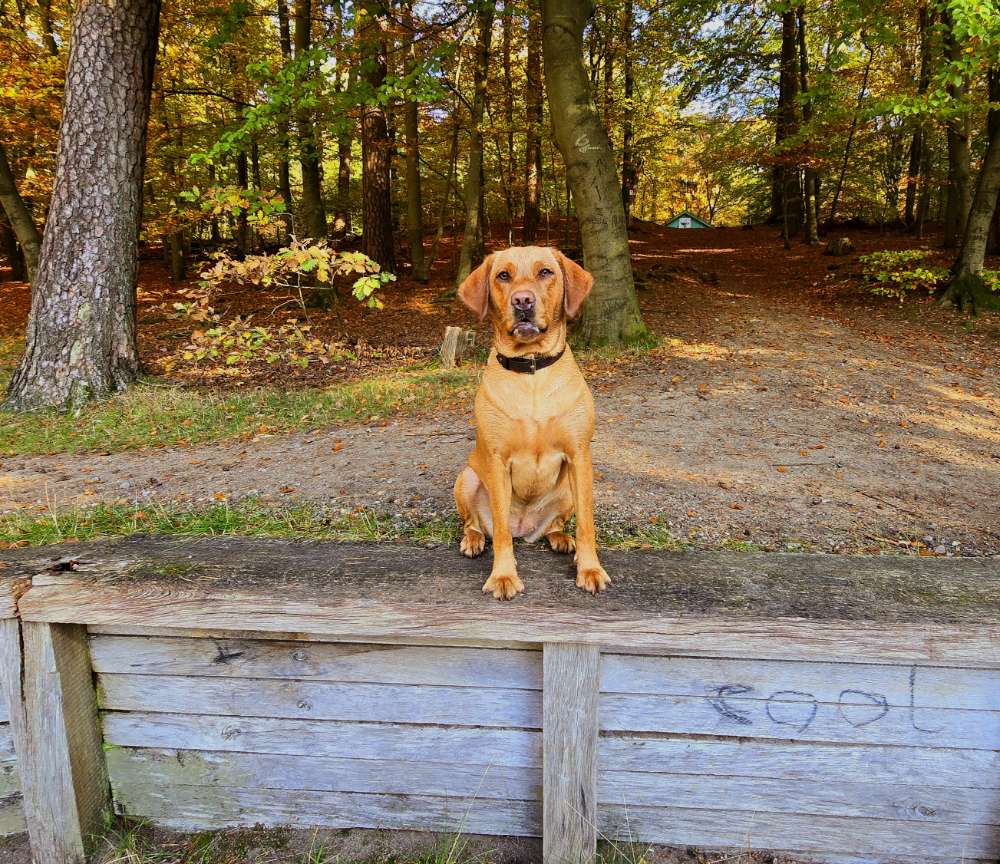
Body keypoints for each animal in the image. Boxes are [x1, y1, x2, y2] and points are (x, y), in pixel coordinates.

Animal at [456, 246, 608, 596]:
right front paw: (503, 575)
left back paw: (561, 539)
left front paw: (590, 568)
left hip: (567, 489)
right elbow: (499, 532)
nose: (523, 301)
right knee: (476, 524)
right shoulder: (498, 462)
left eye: (545, 272)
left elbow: (586, 525)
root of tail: (524, 528)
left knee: (557, 524)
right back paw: (472, 540)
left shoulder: (580, 456)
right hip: (467, 478)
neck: (532, 371)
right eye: (503, 276)